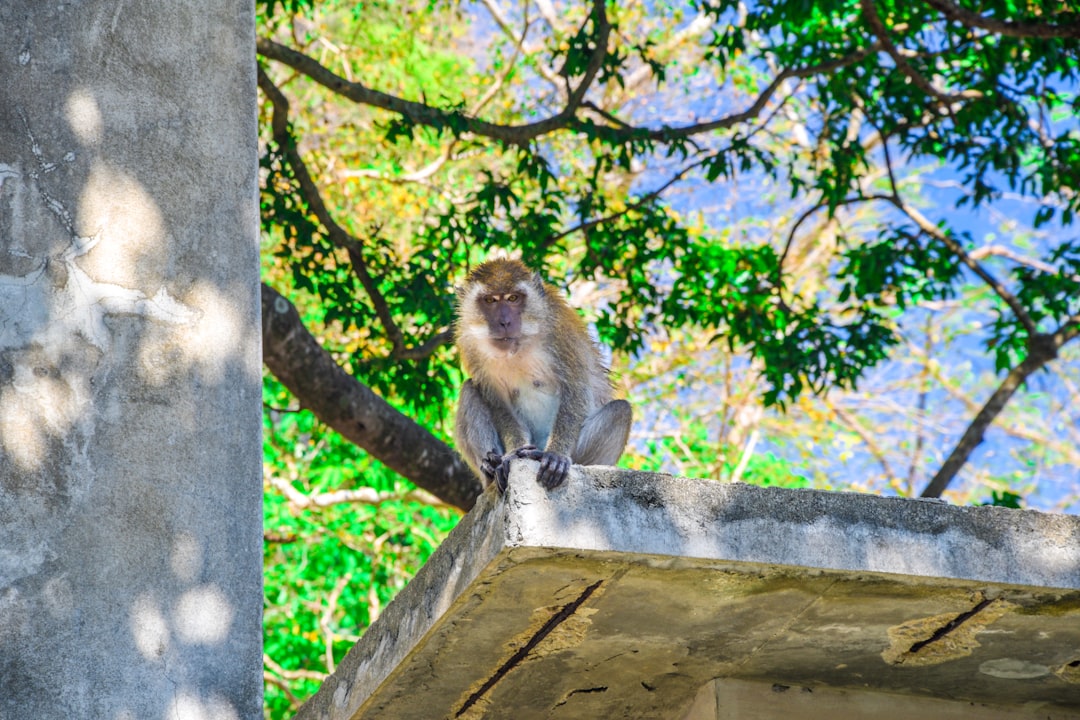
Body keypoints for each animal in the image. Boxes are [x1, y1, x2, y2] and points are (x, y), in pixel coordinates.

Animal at [453, 260, 630, 496]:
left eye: (513, 298)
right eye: (490, 300)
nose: (504, 322)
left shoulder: (561, 332)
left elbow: (576, 389)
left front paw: (556, 455)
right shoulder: (470, 345)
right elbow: (497, 402)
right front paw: (512, 453)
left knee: (621, 410)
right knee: (469, 390)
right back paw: (490, 468)